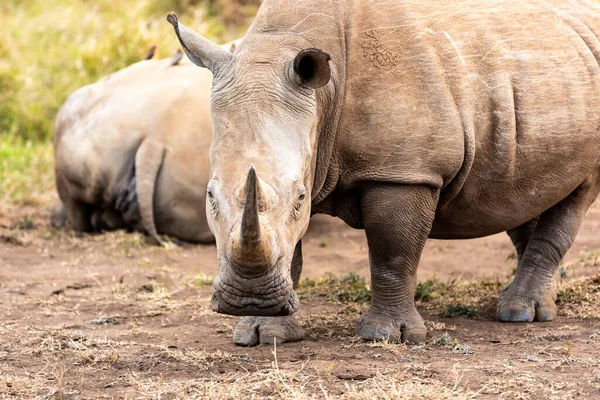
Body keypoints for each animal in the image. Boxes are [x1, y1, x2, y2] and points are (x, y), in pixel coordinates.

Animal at [166, 0, 600, 344]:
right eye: (209, 195)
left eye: (301, 198)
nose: (247, 297)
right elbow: (293, 252)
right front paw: (261, 333)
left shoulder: (404, 170)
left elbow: (392, 250)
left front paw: (388, 336)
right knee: (521, 193)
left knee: (577, 195)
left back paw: (519, 314)